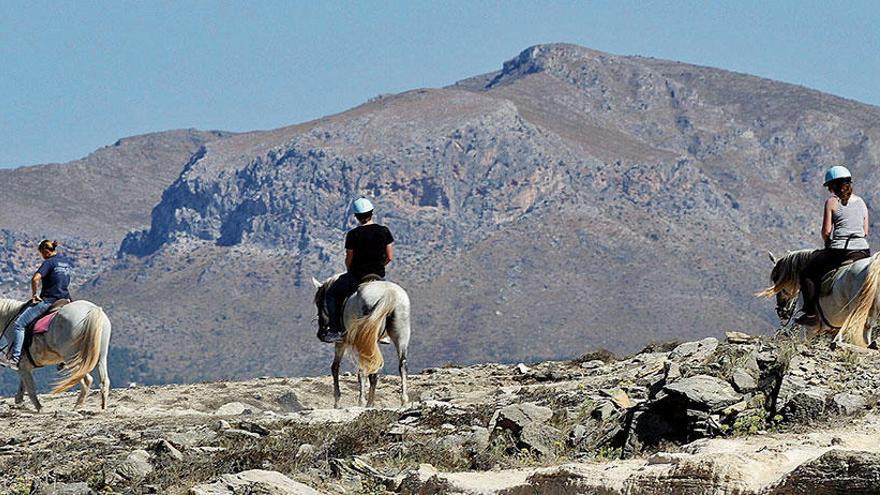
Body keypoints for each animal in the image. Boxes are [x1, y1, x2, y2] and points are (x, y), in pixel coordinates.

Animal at [312, 276, 410, 406]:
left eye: (319, 302)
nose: (321, 333)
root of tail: (389, 293)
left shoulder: (341, 342)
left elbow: (335, 367)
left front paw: (337, 402)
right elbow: (374, 372)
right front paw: (370, 403)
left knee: (362, 370)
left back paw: (361, 401)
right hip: (400, 334)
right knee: (401, 364)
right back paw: (403, 400)